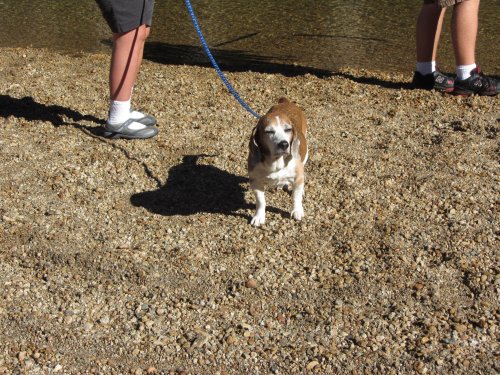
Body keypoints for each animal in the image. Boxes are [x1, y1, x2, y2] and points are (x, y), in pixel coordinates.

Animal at [247, 97, 306, 226]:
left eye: (288, 129)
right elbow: (260, 202)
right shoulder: (256, 182)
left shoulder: (298, 177)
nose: (284, 144)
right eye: (269, 132)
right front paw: (259, 216)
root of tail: (285, 102)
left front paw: (297, 211)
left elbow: (296, 196)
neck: (276, 163)